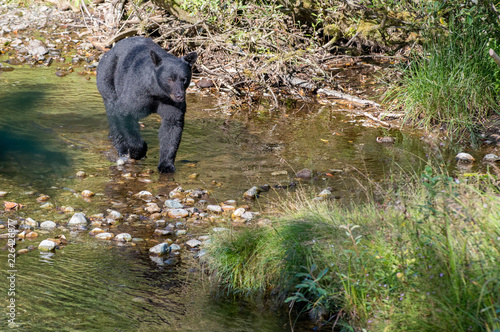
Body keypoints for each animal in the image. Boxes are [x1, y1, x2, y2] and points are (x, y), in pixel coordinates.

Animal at [96, 37, 198, 174]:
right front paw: (138, 152)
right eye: (170, 79)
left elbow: (171, 128)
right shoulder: (137, 93)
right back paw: (121, 148)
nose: (179, 96)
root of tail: (110, 50)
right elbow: (124, 114)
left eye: (185, 78)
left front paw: (166, 165)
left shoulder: (170, 103)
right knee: (113, 115)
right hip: (107, 79)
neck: (157, 92)